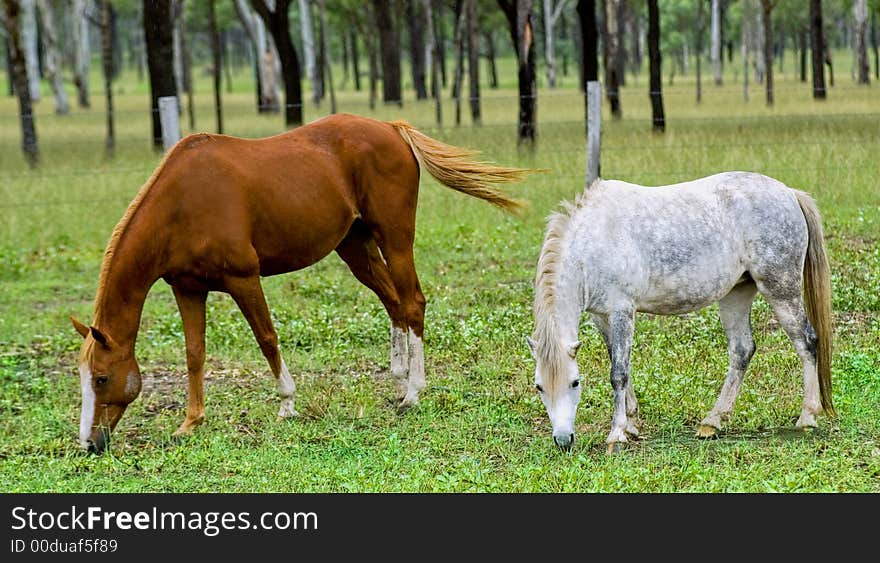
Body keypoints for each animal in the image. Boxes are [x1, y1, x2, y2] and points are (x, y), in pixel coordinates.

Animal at [69, 113, 528, 454]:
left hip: (395, 239)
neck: (181, 202)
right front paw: (190, 422)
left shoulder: (243, 278)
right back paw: (399, 380)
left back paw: (413, 392)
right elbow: (195, 353)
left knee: (413, 303)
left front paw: (287, 403)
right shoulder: (188, 288)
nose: (89, 444)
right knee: (394, 303)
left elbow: (267, 338)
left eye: (101, 379)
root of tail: (391, 128)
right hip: (356, 246)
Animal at [524, 172, 836, 454]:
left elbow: (619, 373)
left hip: (780, 290)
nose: (563, 440)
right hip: (736, 294)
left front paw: (617, 434)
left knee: (806, 342)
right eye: (539, 386)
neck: (593, 243)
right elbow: (621, 364)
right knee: (742, 351)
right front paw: (632, 424)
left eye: (575, 382)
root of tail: (789, 193)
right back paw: (712, 422)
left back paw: (807, 416)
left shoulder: (622, 311)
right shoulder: (602, 317)